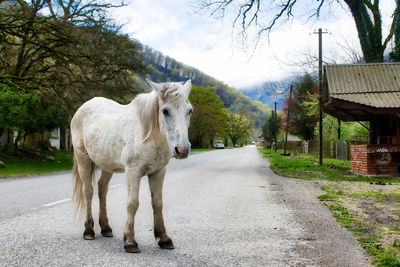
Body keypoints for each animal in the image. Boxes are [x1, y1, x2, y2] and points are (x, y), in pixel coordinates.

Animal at [71, 79, 193, 253]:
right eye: (165, 110)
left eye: (189, 111)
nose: (182, 149)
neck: (147, 136)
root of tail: (83, 108)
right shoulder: (133, 173)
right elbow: (132, 204)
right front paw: (130, 241)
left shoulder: (158, 173)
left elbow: (157, 204)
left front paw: (164, 239)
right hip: (83, 160)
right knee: (88, 191)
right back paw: (89, 231)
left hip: (107, 165)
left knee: (102, 189)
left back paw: (106, 228)